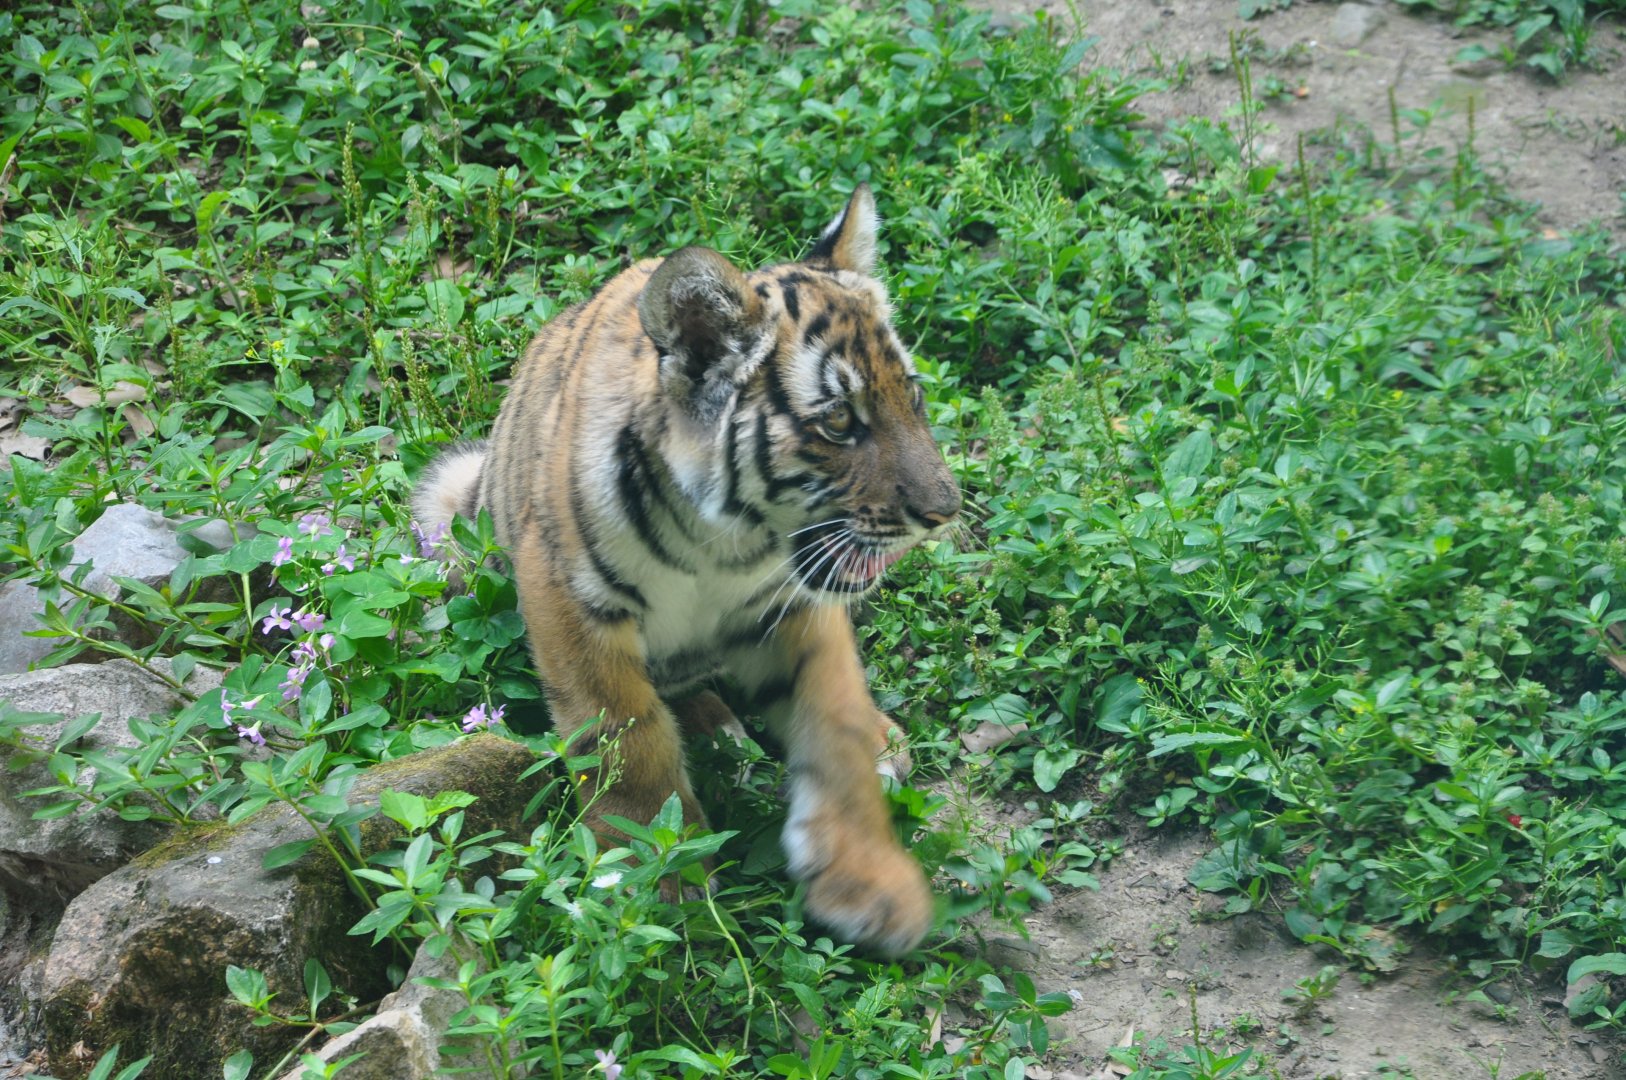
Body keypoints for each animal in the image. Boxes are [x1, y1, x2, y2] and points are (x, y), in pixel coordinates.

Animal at [411, 185, 961, 956]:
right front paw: (660, 885)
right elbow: (626, 736)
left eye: (912, 397)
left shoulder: (793, 604)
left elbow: (837, 722)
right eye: (838, 423)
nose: (945, 513)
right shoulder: (569, 602)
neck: (727, 541)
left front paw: (874, 884)